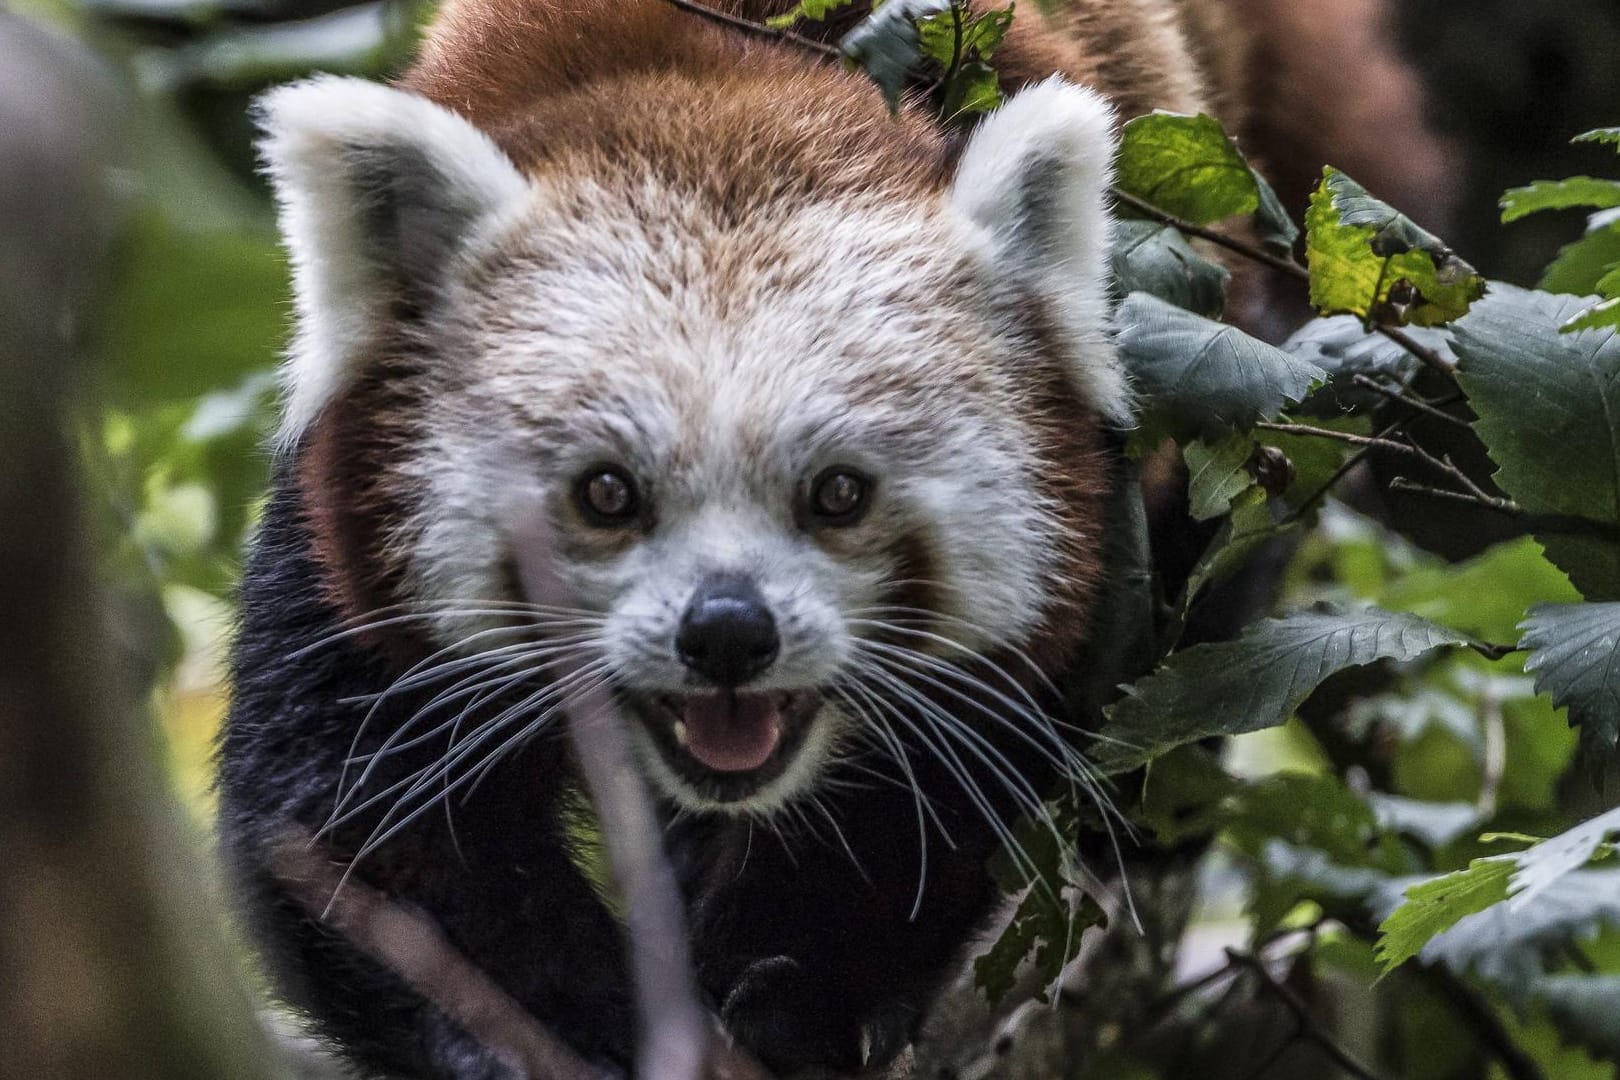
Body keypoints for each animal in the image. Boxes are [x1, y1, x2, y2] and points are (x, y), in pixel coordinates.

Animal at [218, 4, 1445, 1075]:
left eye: (839, 494)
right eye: (608, 493)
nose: (726, 633)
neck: (729, 87)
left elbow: (947, 779)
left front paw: (794, 998)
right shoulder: (340, 539)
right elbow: (366, 834)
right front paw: (575, 1036)